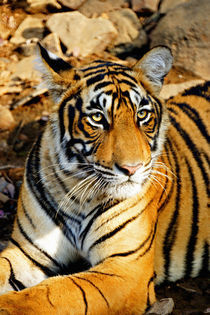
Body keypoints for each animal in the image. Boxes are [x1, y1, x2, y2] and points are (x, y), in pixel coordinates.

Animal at [0, 45, 208, 315]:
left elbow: (54, 292)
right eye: (97, 118)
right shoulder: (28, 250)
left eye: (142, 115)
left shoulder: (126, 268)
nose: (133, 168)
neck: (78, 193)